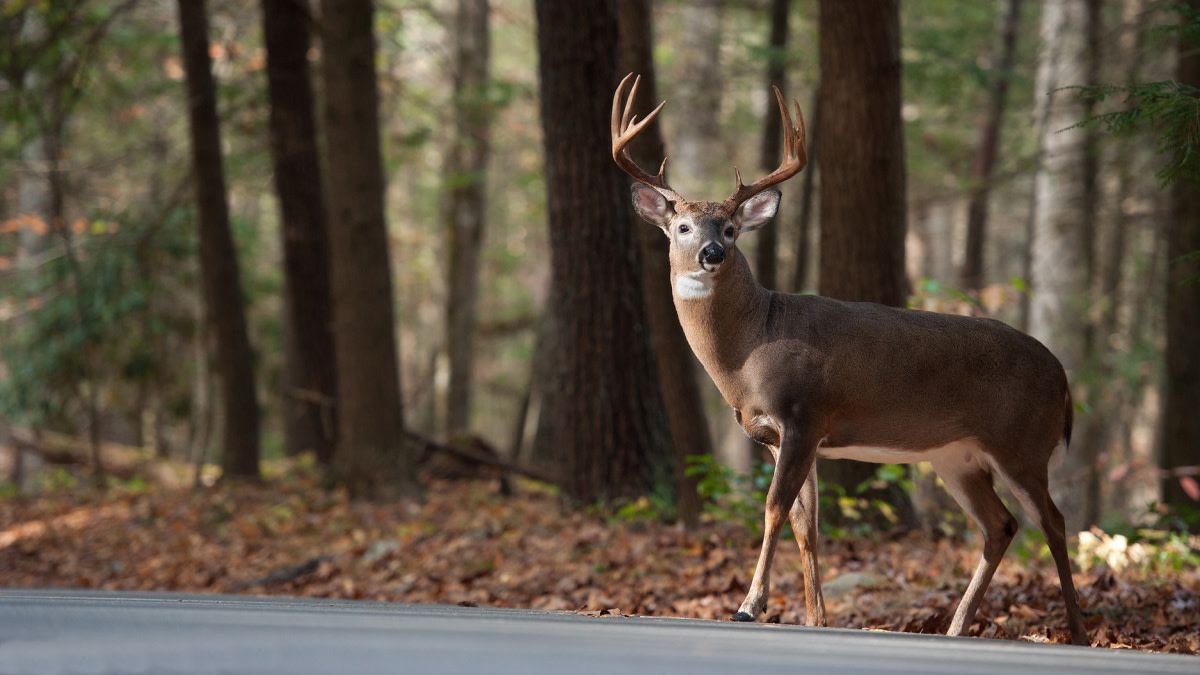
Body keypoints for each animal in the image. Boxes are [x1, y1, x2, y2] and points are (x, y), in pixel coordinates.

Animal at [611, 73, 1089, 646]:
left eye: (729, 228)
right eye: (683, 227)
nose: (712, 254)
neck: (749, 349)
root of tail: (1063, 377)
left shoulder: (803, 413)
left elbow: (773, 508)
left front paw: (750, 606)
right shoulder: (786, 437)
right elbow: (807, 524)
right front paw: (815, 618)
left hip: (1021, 442)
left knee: (1054, 522)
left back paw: (1077, 631)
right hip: (957, 457)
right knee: (1001, 525)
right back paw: (957, 628)